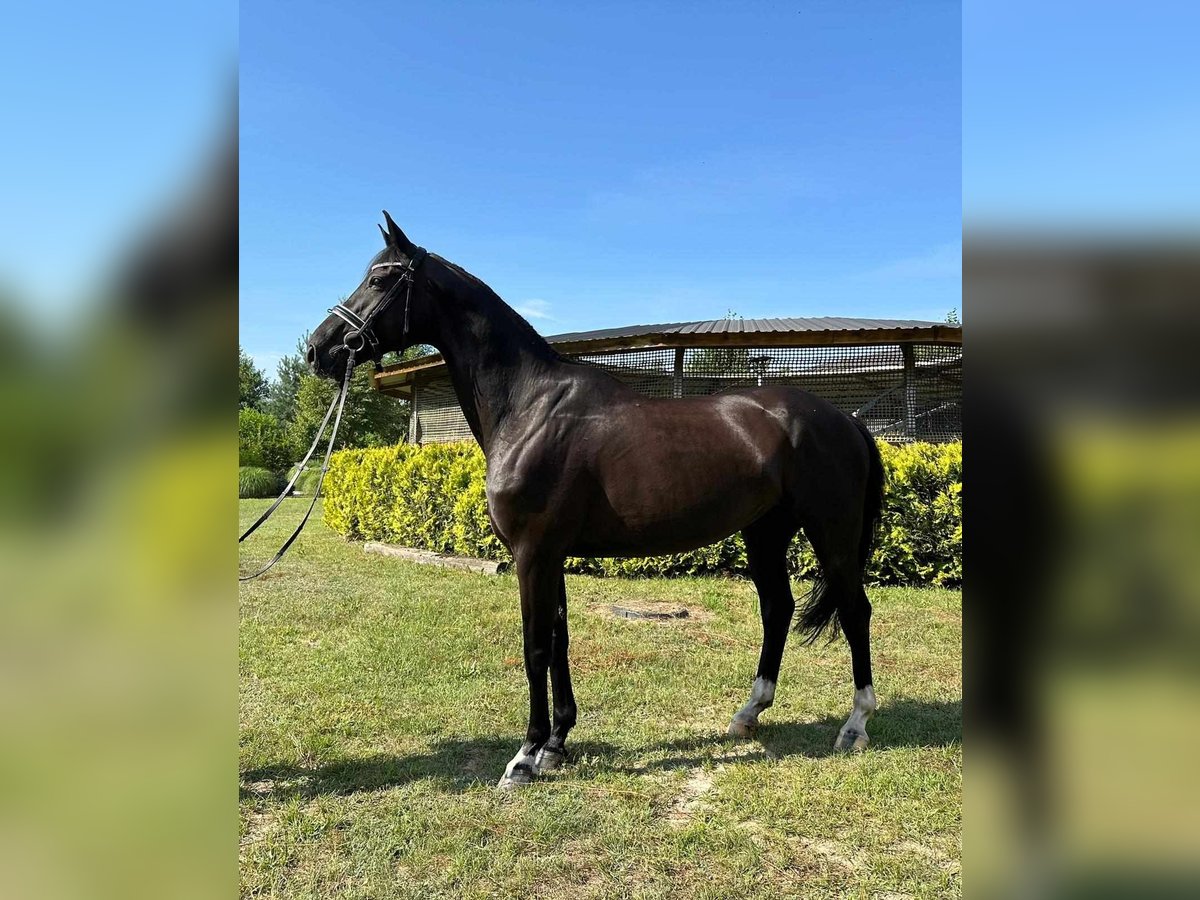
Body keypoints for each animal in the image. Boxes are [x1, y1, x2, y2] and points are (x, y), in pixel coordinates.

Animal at [304, 217, 888, 787]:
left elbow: (535, 646)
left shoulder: (532, 553)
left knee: (855, 610)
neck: (530, 405)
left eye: (380, 278)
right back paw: (748, 714)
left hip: (830, 533)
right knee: (777, 608)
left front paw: (525, 756)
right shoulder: (551, 555)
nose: (318, 348)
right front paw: (557, 744)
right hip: (765, 532)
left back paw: (855, 725)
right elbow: (559, 638)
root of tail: (847, 422)